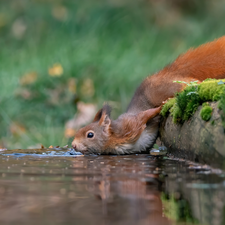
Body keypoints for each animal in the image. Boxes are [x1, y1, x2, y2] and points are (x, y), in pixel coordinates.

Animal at [71, 36, 225, 155]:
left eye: (90, 135)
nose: (73, 145)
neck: (114, 138)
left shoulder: (131, 124)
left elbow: (146, 114)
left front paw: (160, 108)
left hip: (163, 89)